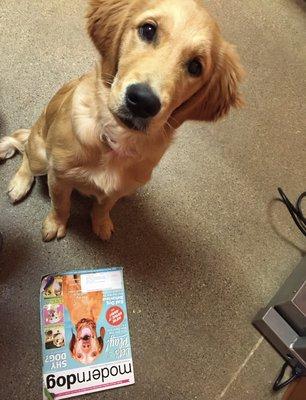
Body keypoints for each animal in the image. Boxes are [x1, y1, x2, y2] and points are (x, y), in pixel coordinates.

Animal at [0, 0, 244, 241]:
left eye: (195, 66)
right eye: (148, 29)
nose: (143, 101)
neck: (115, 137)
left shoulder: (118, 189)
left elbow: (104, 206)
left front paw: (101, 223)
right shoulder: (59, 177)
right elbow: (61, 205)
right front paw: (55, 224)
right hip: (41, 155)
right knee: (26, 154)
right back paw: (19, 184)